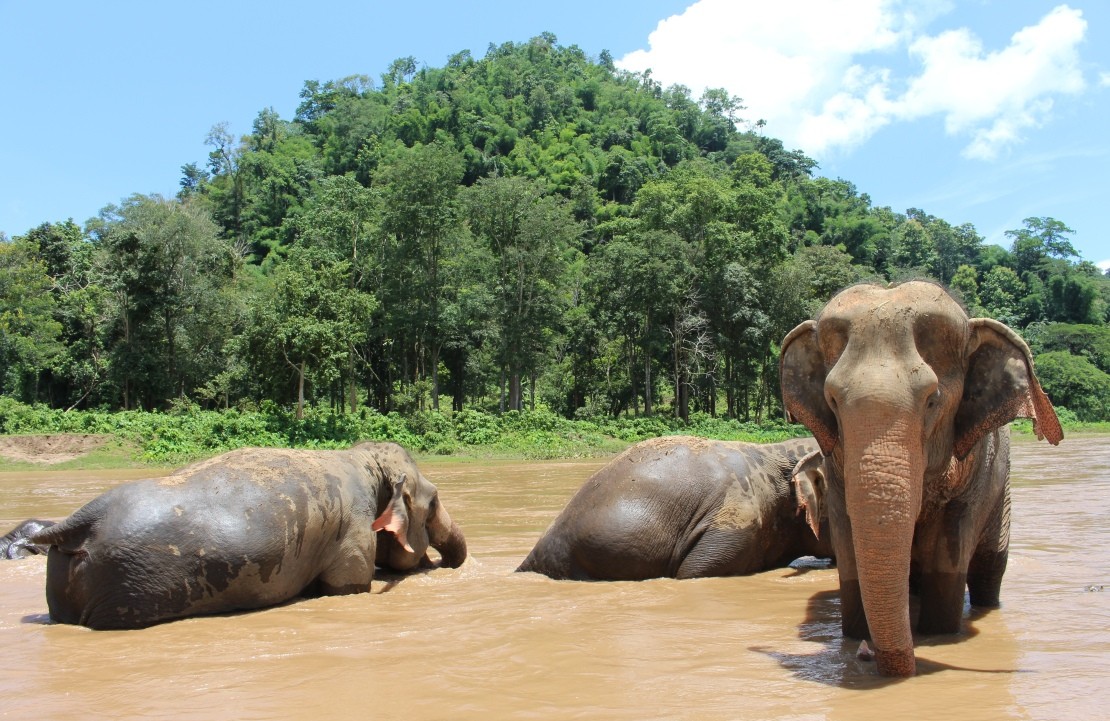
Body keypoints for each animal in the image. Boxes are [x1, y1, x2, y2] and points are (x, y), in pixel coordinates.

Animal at [30, 442, 467, 629]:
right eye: (433, 503)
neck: (363, 458)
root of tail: (81, 521)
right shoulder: (353, 532)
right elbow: (346, 587)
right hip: (126, 588)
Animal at [779, 281, 1062, 677]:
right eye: (832, 401)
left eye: (932, 400)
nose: (865, 655)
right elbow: (848, 541)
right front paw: (854, 637)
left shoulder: (978, 468)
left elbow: (950, 547)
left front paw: (938, 635)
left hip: (1002, 492)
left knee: (990, 569)